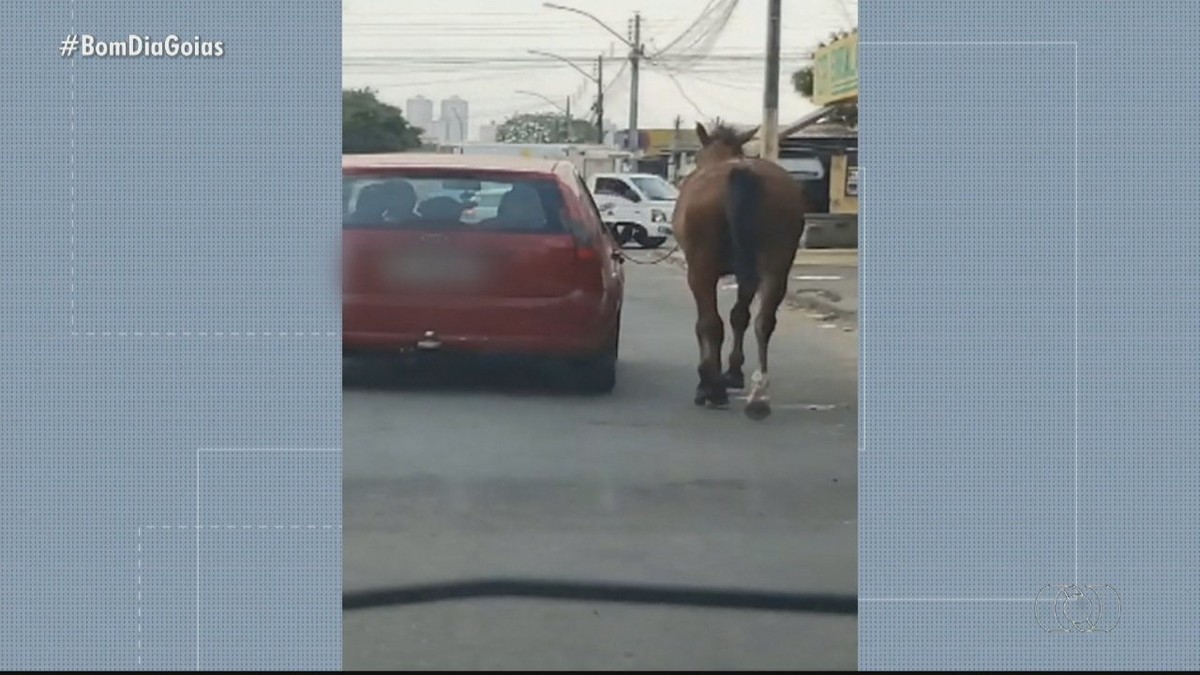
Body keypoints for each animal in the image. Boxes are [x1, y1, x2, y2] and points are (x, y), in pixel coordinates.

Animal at [672, 120, 811, 415]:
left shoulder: (699, 269)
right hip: (776, 262)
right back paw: (758, 397)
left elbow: (707, 323)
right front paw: (734, 371)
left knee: (711, 323)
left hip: (701, 268)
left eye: (696, 158)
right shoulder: (748, 275)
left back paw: (711, 387)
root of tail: (741, 172)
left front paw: (710, 378)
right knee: (764, 321)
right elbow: (740, 316)